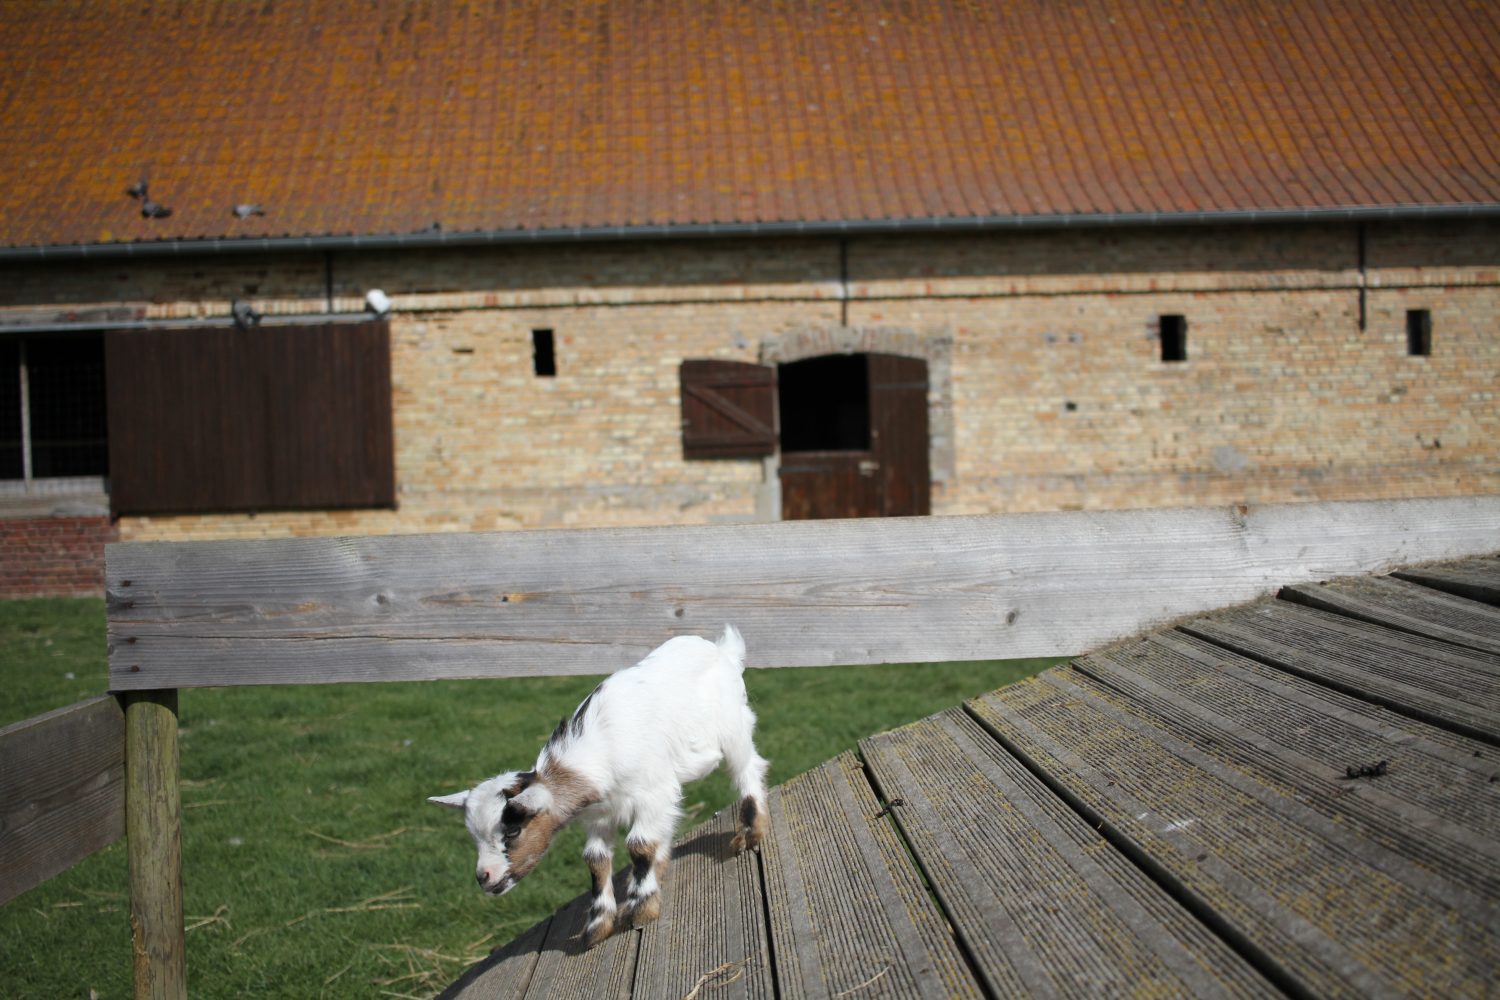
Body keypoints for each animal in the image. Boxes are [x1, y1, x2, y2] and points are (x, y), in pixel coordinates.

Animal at [429, 626, 768, 947]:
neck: (600, 752)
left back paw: (750, 834)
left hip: (734, 730)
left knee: (748, 771)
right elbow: (596, 859)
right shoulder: (600, 815)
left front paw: (641, 909)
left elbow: (639, 844)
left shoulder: (651, 794)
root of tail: (723, 650)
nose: (484, 877)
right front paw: (598, 926)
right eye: (474, 837)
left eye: (513, 830)